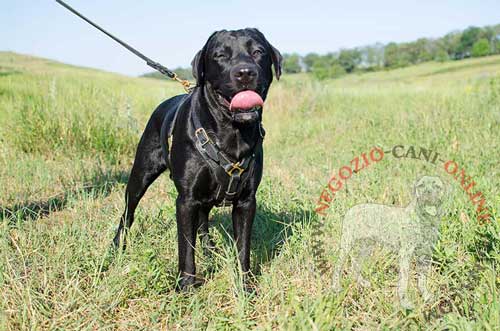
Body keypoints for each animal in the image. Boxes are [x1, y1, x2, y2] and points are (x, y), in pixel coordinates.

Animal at [111, 28, 282, 290]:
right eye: (220, 55)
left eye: (258, 51)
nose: (244, 72)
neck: (231, 133)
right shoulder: (186, 200)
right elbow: (186, 247)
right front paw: (186, 286)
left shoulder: (246, 201)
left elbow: (243, 247)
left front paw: (245, 286)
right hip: (141, 173)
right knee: (128, 211)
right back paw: (118, 246)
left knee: (203, 221)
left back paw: (210, 250)